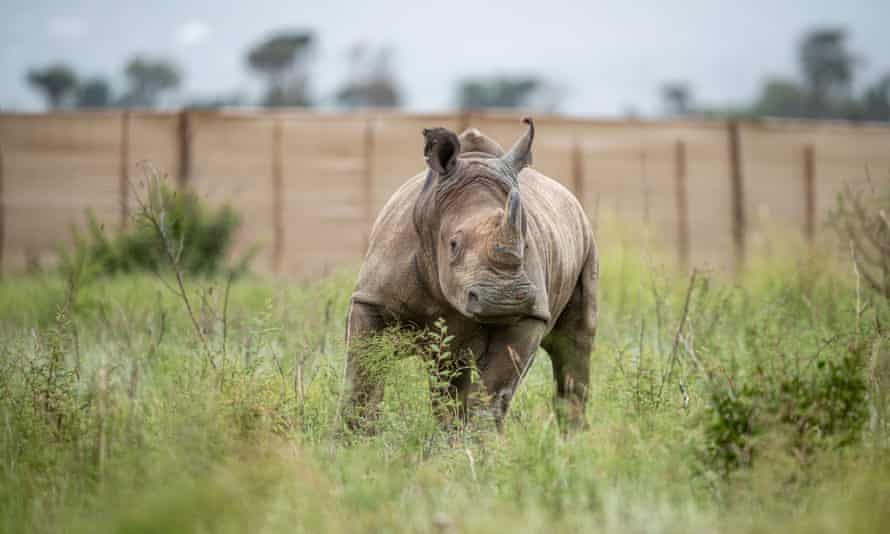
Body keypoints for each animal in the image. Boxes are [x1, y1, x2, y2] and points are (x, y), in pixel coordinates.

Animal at [344, 118, 598, 430]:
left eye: (526, 245)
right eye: (453, 244)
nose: (504, 299)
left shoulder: (529, 313)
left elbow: (493, 391)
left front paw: (481, 440)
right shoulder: (373, 298)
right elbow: (363, 377)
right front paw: (352, 436)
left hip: (585, 240)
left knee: (574, 343)